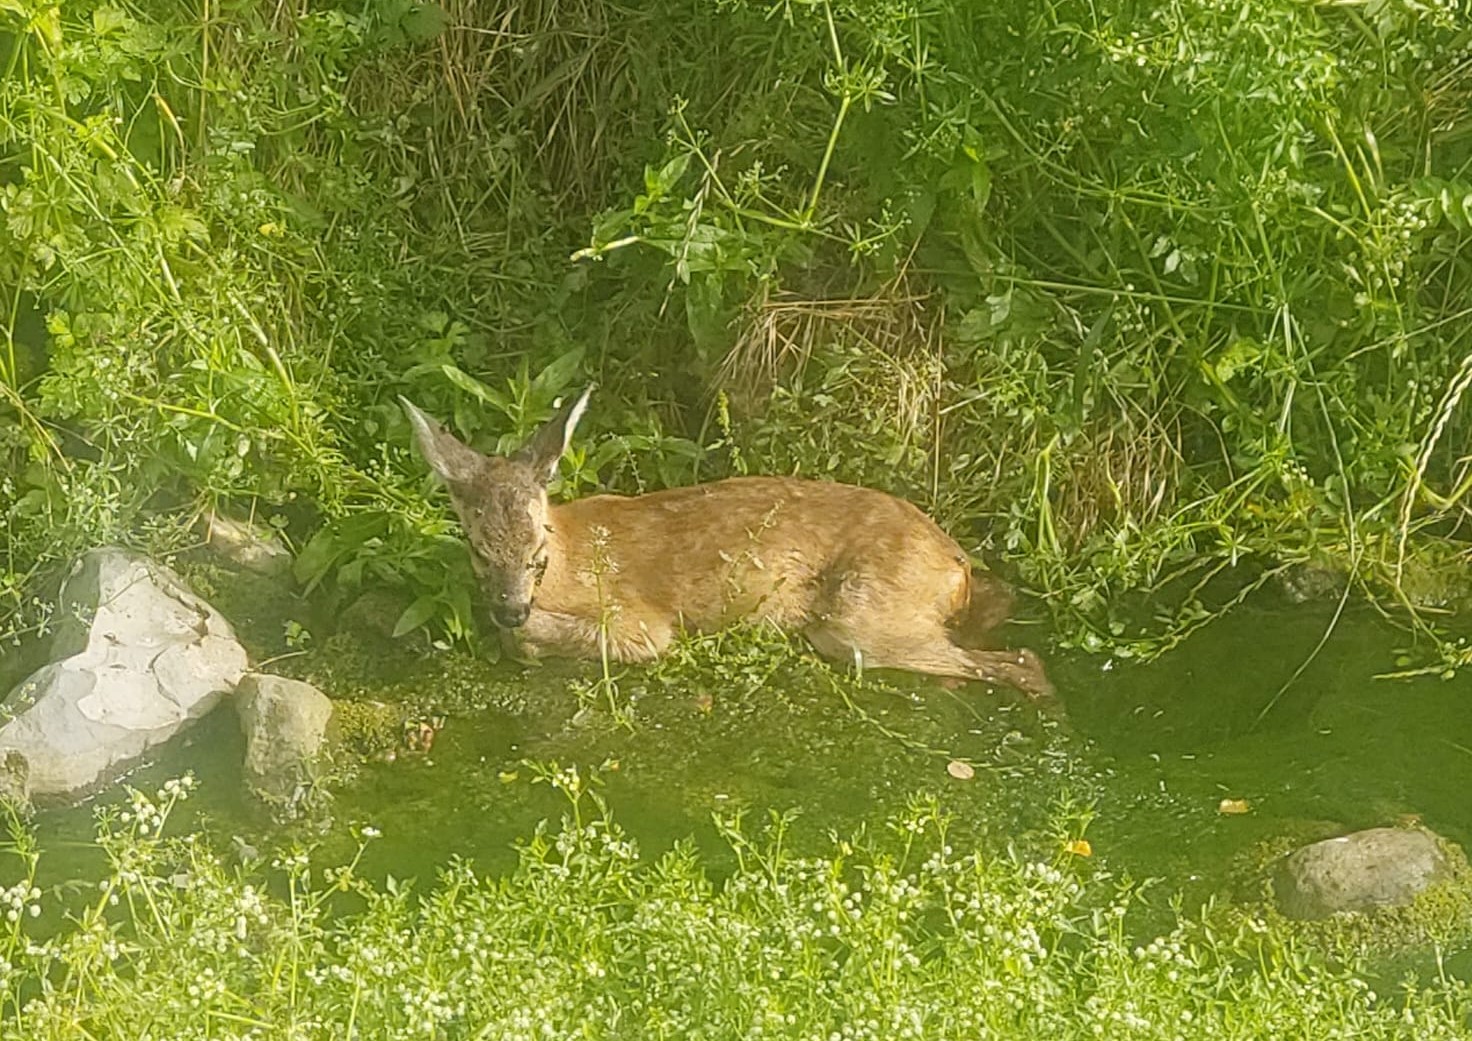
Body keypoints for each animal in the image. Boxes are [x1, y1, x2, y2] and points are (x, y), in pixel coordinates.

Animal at [397, 391, 1053, 700]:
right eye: (478, 548)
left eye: (538, 549)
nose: (510, 606)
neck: (571, 561)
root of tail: (955, 565)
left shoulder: (640, 625)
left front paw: (520, 639)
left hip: (859, 619)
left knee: (1021, 661)